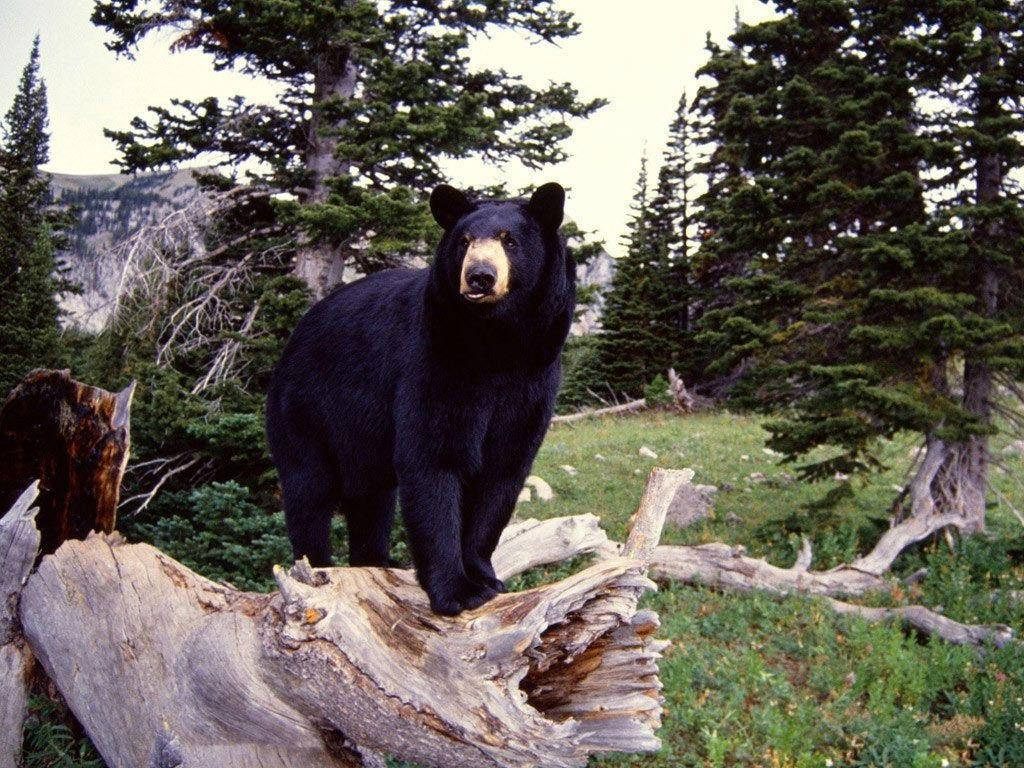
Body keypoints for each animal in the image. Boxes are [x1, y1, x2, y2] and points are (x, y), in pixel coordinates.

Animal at [266, 183, 577, 618]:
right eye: (464, 241)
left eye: (509, 240)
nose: (479, 276)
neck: (497, 347)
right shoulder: (434, 364)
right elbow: (434, 461)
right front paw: (455, 591)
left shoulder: (534, 383)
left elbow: (503, 471)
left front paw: (485, 577)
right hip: (304, 412)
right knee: (309, 493)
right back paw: (319, 569)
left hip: (359, 439)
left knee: (373, 501)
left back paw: (374, 562)